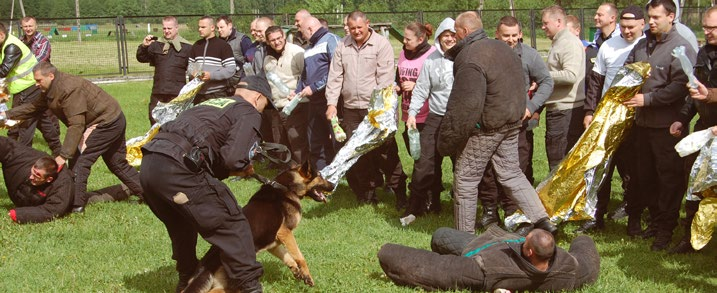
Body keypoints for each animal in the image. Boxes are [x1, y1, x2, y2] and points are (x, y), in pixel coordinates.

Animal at [182, 161, 332, 290]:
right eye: (320, 176)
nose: (333, 185)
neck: (287, 187)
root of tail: (208, 265)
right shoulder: (285, 232)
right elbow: (300, 256)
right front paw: (307, 274)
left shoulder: (274, 243)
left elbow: (288, 257)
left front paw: (297, 271)